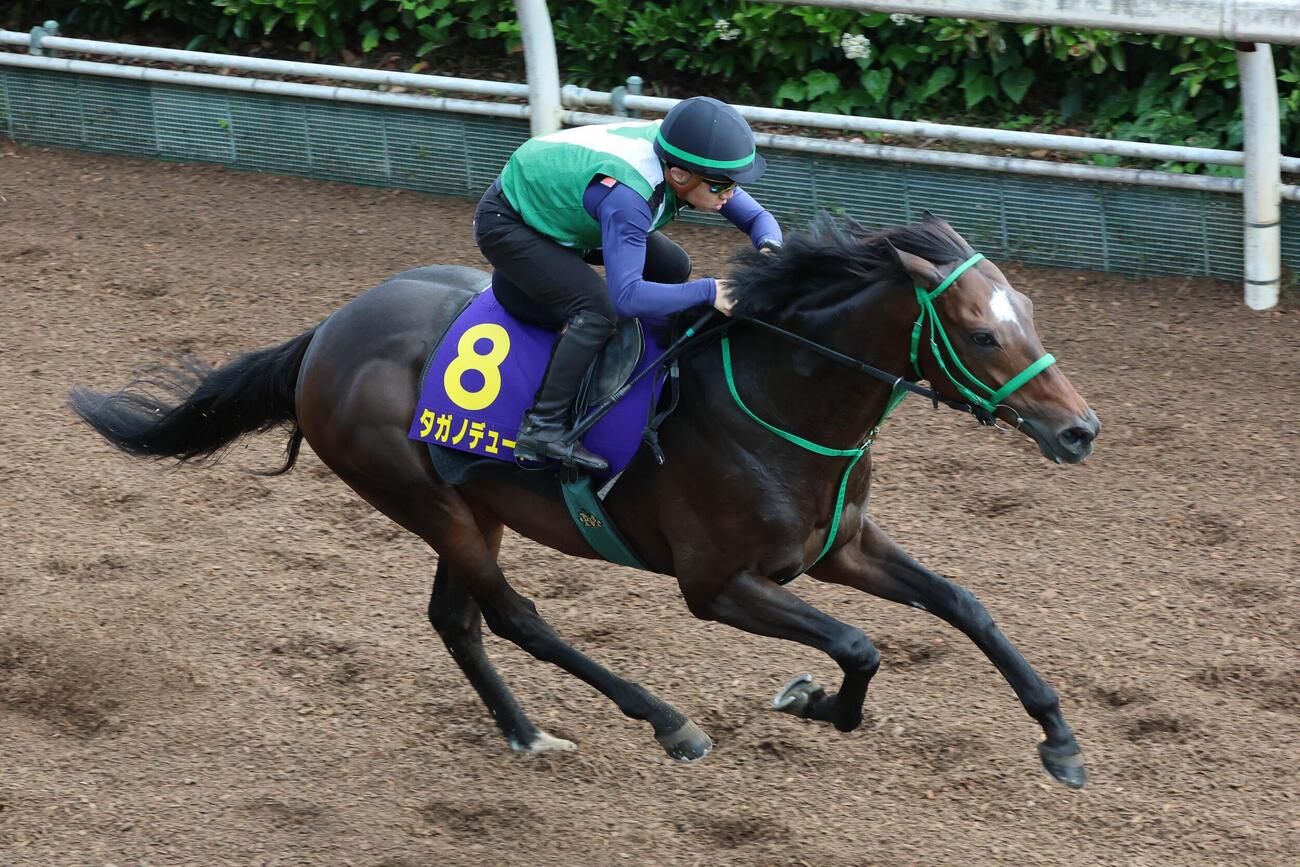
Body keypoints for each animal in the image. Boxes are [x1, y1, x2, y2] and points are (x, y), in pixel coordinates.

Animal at [69, 213, 1100, 789]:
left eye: (1028, 315)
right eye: (980, 333)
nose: (1081, 430)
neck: (777, 398)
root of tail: (327, 331)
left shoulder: (839, 545)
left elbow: (965, 603)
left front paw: (1058, 738)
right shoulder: (717, 585)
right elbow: (856, 646)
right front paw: (812, 700)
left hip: (467, 505)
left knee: (457, 619)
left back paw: (527, 733)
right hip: (420, 498)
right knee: (515, 616)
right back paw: (665, 721)